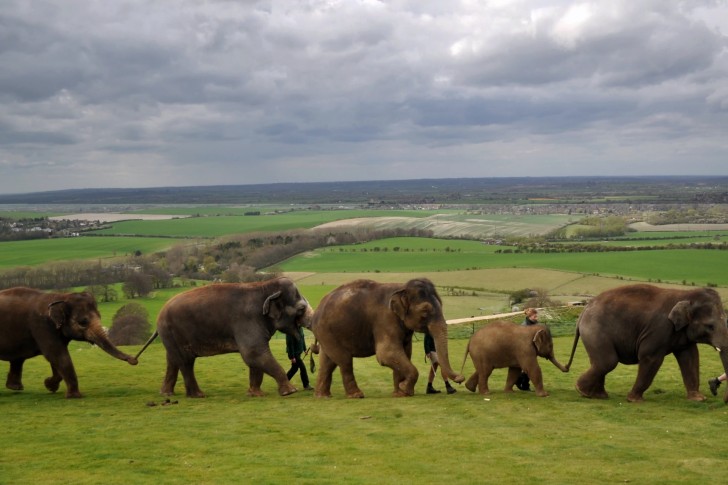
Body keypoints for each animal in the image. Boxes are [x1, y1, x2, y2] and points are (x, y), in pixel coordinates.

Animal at [0, 287, 138, 398]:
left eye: (99, 316)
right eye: (83, 322)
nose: (134, 360)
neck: (60, 297)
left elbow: (56, 358)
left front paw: (49, 385)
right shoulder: (42, 327)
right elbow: (57, 355)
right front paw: (74, 396)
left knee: (18, 359)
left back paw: (15, 387)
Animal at [135, 277, 313, 398]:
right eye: (301, 308)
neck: (264, 285)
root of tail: (159, 317)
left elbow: (255, 358)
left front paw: (256, 394)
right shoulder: (247, 322)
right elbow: (253, 354)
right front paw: (291, 391)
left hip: (171, 337)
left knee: (173, 360)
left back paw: (166, 394)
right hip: (174, 333)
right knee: (186, 362)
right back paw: (198, 395)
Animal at [311, 278, 465, 398]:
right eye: (425, 311)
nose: (461, 378)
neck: (402, 288)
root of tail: (317, 309)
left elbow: (405, 353)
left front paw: (399, 393)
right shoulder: (385, 320)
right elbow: (386, 354)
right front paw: (405, 389)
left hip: (326, 334)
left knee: (328, 362)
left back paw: (323, 396)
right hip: (327, 332)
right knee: (344, 361)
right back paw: (357, 395)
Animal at [565, 284, 728, 403]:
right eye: (710, 326)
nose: (723, 399)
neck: (685, 294)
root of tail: (583, 311)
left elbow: (691, 358)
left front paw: (698, 399)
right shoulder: (659, 328)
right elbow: (650, 359)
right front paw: (634, 400)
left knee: (599, 363)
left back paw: (597, 395)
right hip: (595, 331)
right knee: (607, 362)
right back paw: (582, 391)